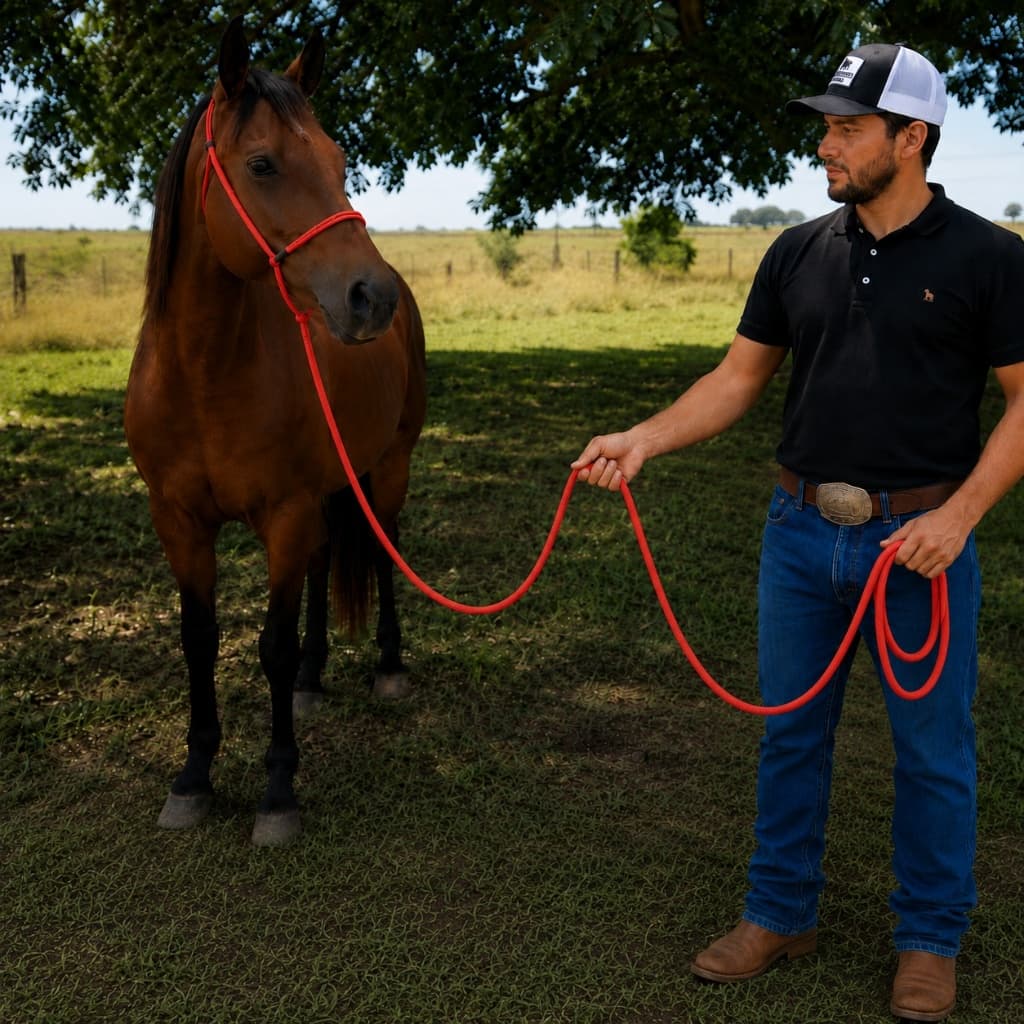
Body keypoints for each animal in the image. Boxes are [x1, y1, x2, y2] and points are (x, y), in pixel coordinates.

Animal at [124, 17, 426, 847]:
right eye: (262, 163)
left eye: (339, 160)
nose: (371, 296)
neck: (204, 374)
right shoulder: (178, 521)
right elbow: (200, 639)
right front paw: (193, 776)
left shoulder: (284, 516)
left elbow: (273, 647)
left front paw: (278, 792)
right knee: (325, 568)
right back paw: (319, 679)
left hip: (388, 469)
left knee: (382, 554)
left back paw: (388, 668)